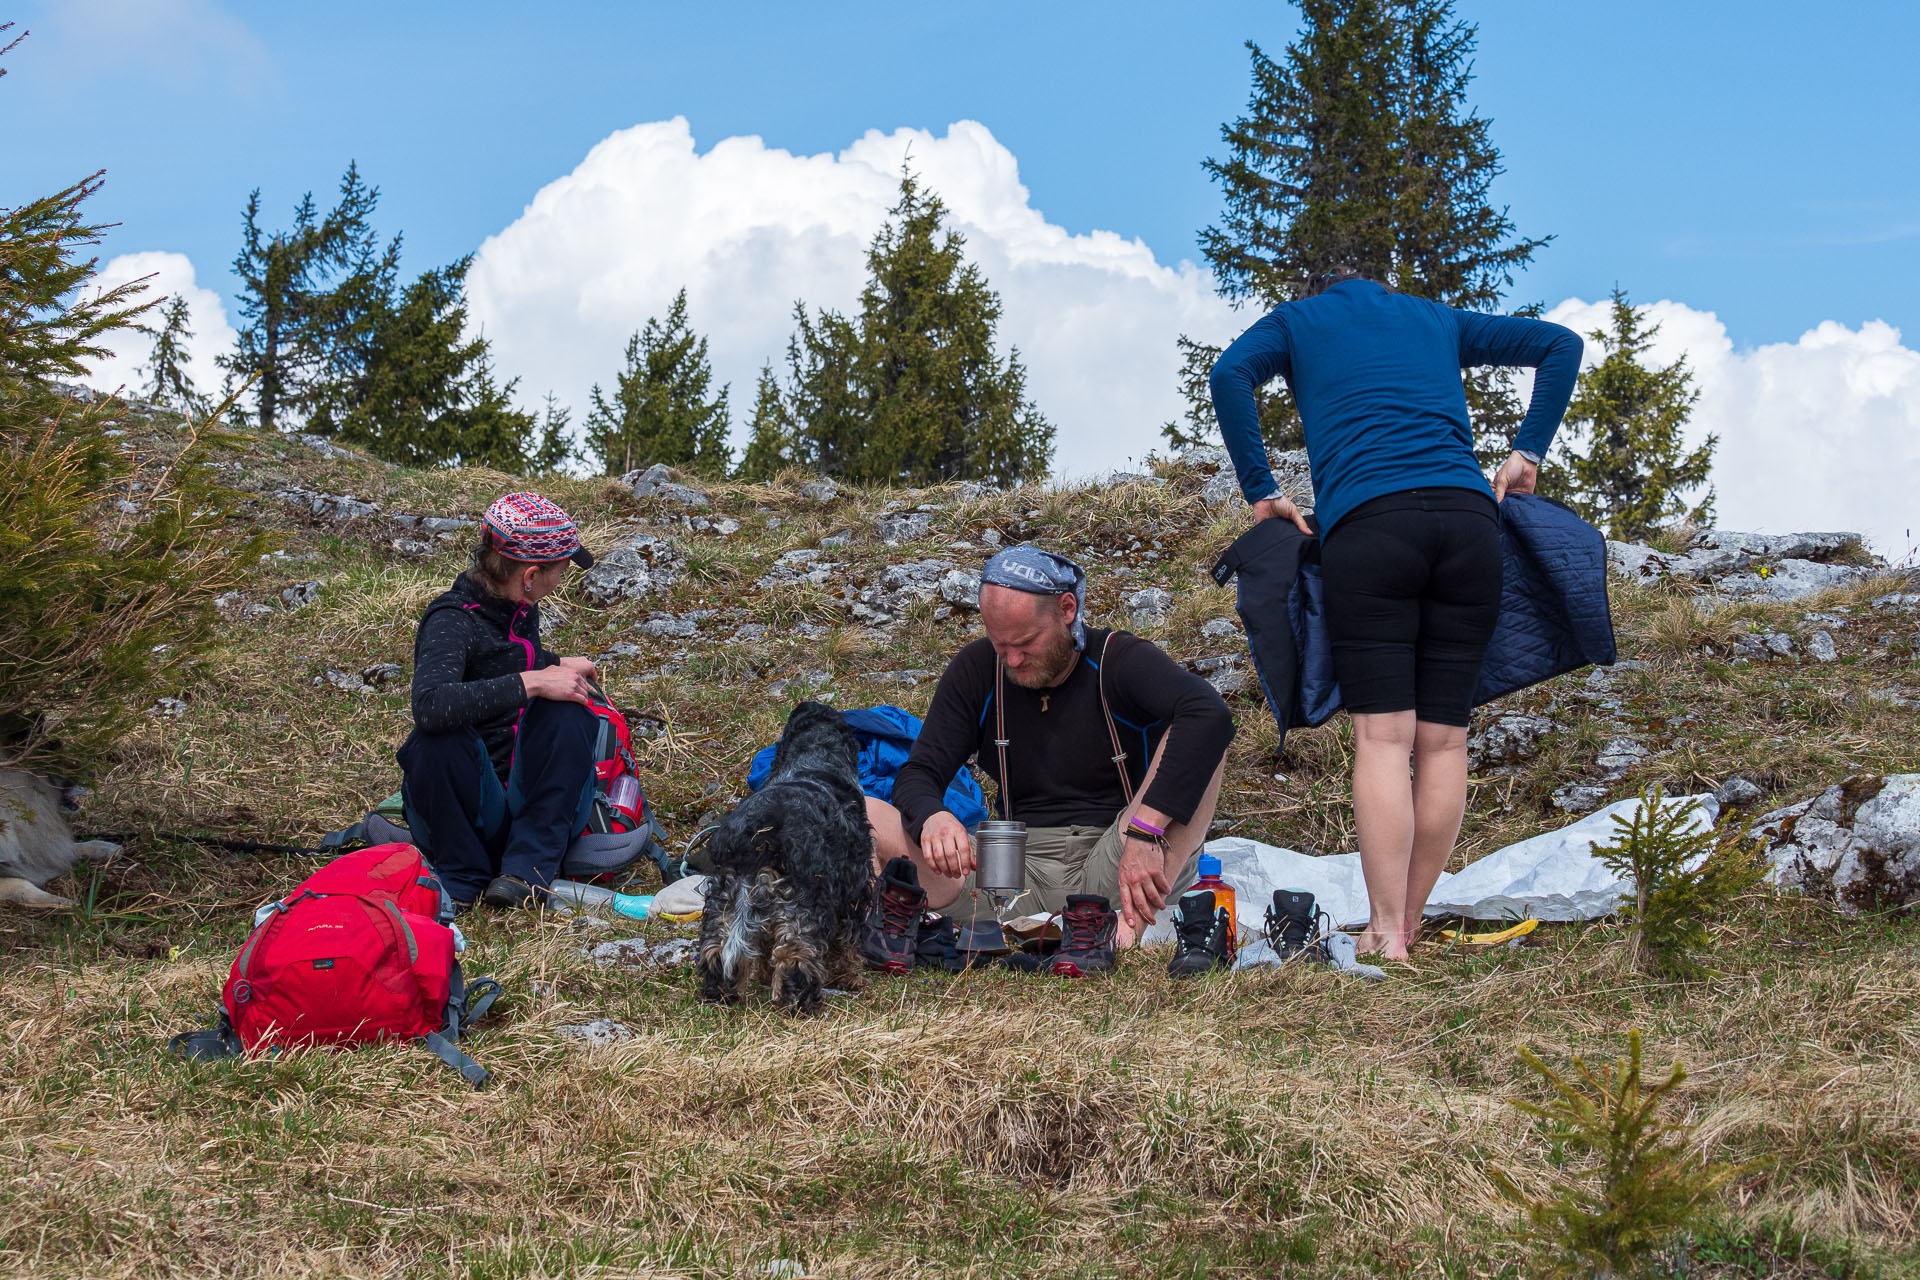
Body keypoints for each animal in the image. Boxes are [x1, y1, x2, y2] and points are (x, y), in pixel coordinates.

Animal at [702, 702, 875, 1013]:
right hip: (804, 901)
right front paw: (852, 978)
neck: (814, 757)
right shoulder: (853, 889)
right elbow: (846, 945)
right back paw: (801, 1001)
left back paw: (720, 992)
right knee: (795, 954)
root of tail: (760, 832)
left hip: (725, 895)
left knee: (717, 948)